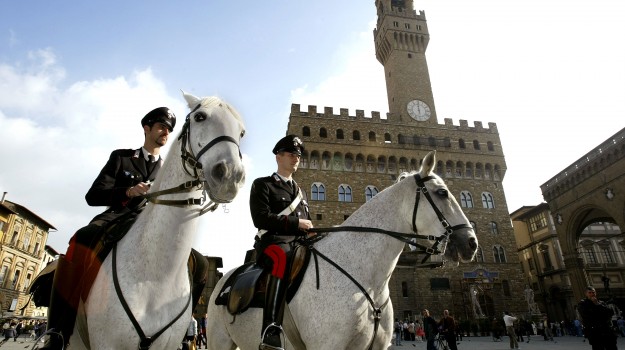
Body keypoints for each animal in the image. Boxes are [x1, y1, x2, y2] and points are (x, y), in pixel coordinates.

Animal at [67, 91, 244, 348]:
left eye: (241, 132)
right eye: (200, 117)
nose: (231, 175)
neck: (156, 278)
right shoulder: (106, 343)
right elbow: (95, 192)